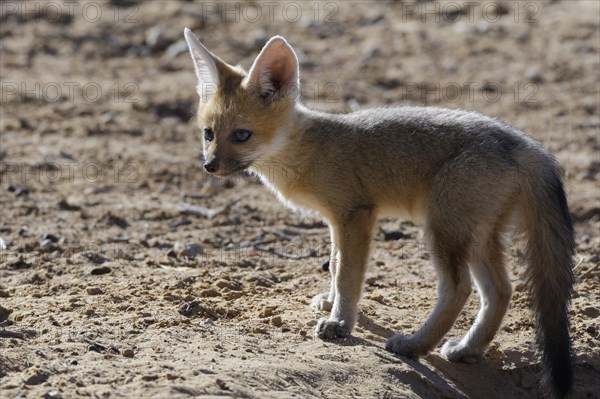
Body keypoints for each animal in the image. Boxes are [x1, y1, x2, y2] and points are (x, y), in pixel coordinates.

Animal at [184, 29, 576, 398]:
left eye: (242, 135)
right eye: (208, 134)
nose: (209, 166)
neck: (307, 150)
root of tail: (523, 143)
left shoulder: (356, 214)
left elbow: (348, 275)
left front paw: (340, 323)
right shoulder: (336, 221)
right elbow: (335, 264)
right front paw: (330, 303)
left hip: (442, 230)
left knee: (459, 288)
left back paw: (414, 346)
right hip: (477, 237)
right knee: (501, 291)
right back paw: (467, 349)